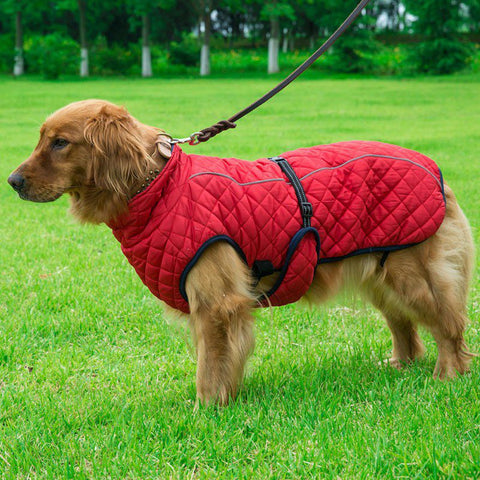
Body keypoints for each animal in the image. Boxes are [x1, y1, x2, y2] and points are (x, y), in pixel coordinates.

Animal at [8, 100, 476, 404]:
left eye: (60, 143)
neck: (159, 187)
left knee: (449, 325)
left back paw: (448, 375)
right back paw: (400, 364)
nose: (12, 181)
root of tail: (435, 168)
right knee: (406, 327)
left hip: (414, 275)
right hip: (380, 272)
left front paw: (206, 409)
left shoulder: (216, 303)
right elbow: (216, 361)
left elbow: (210, 366)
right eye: (42, 139)